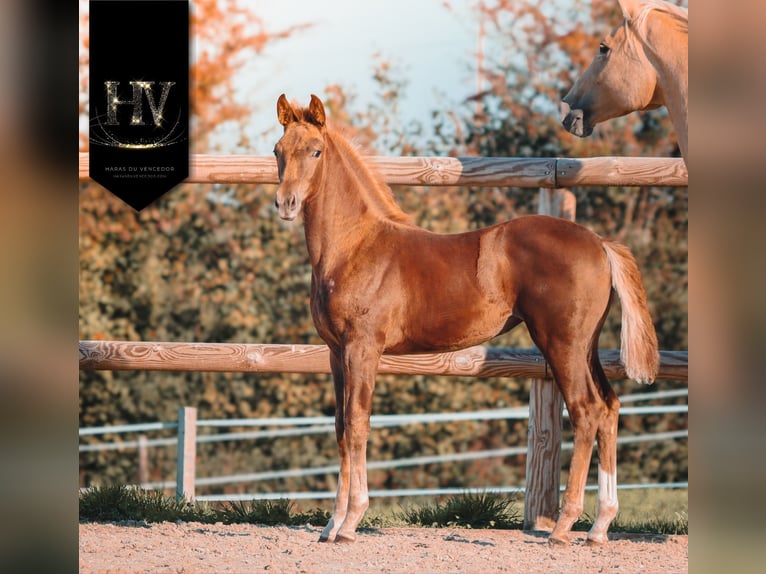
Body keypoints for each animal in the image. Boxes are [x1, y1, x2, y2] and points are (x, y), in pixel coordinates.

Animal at [273, 94, 659, 546]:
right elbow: (339, 426)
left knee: (586, 411)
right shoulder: (336, 353)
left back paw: (563, 527)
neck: (354, 246)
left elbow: (357, 424)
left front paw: (350, 523)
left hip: (562, 344)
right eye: (278, 151)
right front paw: (331, 526)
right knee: (610, 407)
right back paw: (599, 527)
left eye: (315, 151)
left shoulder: (362, 349)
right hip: (587, 346)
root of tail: (599, 243)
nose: (286, 204)